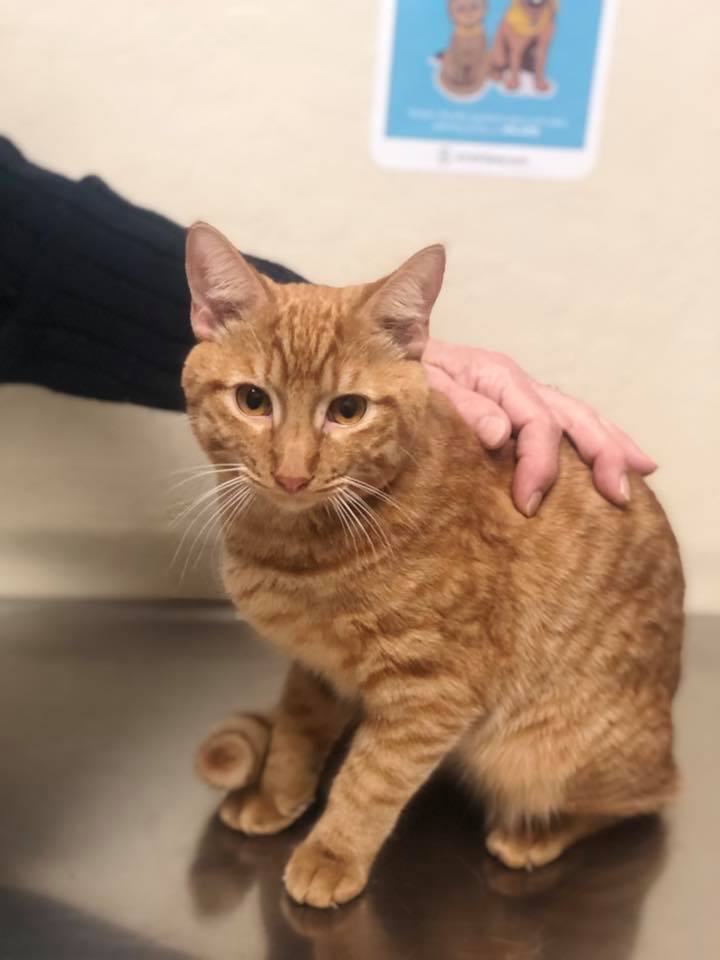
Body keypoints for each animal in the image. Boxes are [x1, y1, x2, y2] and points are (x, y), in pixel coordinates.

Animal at [182, 222, 684, 909]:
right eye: (253, 400)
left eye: (347, 411)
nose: (292, 474)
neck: (291, 543)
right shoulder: (316, 668)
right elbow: (295, 733)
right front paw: (276, 799)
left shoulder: (432, 690)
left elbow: (371, 780)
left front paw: (331, 855)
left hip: (545, 751)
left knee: (644, 797)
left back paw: (534, 834)